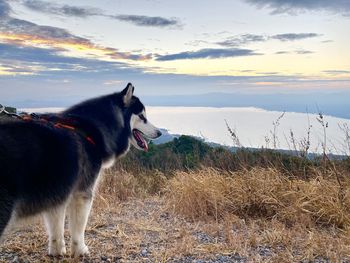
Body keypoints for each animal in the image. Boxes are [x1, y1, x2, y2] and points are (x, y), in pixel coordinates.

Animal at [0, 84, 161, 258]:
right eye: (142, 116)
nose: (159, 132)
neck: (92, 130)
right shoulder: (82, 193)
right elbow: (78, 228)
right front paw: (80, 250)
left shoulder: (59, 190)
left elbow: (56, 226)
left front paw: (57, 251)